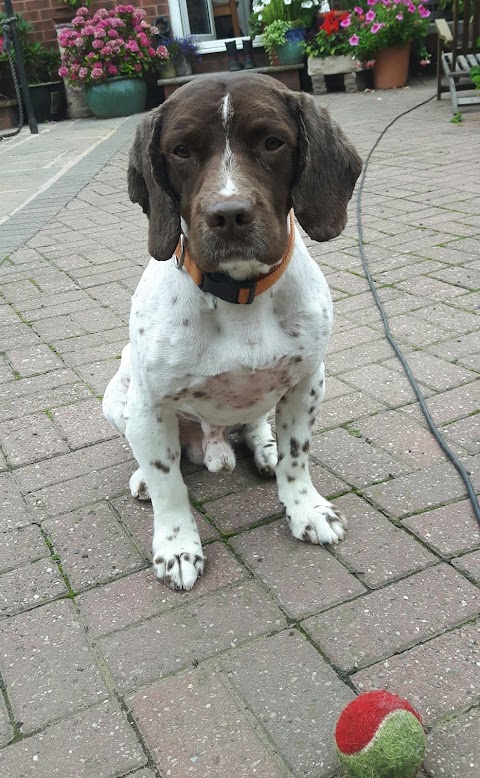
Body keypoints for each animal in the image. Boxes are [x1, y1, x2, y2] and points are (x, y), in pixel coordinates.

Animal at [103, 73, 362, 588]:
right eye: (181, 150)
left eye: (272, 142)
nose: (229, 214)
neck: (239, 294)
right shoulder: (149, 404)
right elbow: (168, 484)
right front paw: (177, 545)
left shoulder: (307, 381)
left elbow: (297, 456)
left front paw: (304, 508)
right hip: (118, 396)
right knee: (154, 458)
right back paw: (144, 477)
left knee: (256, 426)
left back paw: (262, 449)